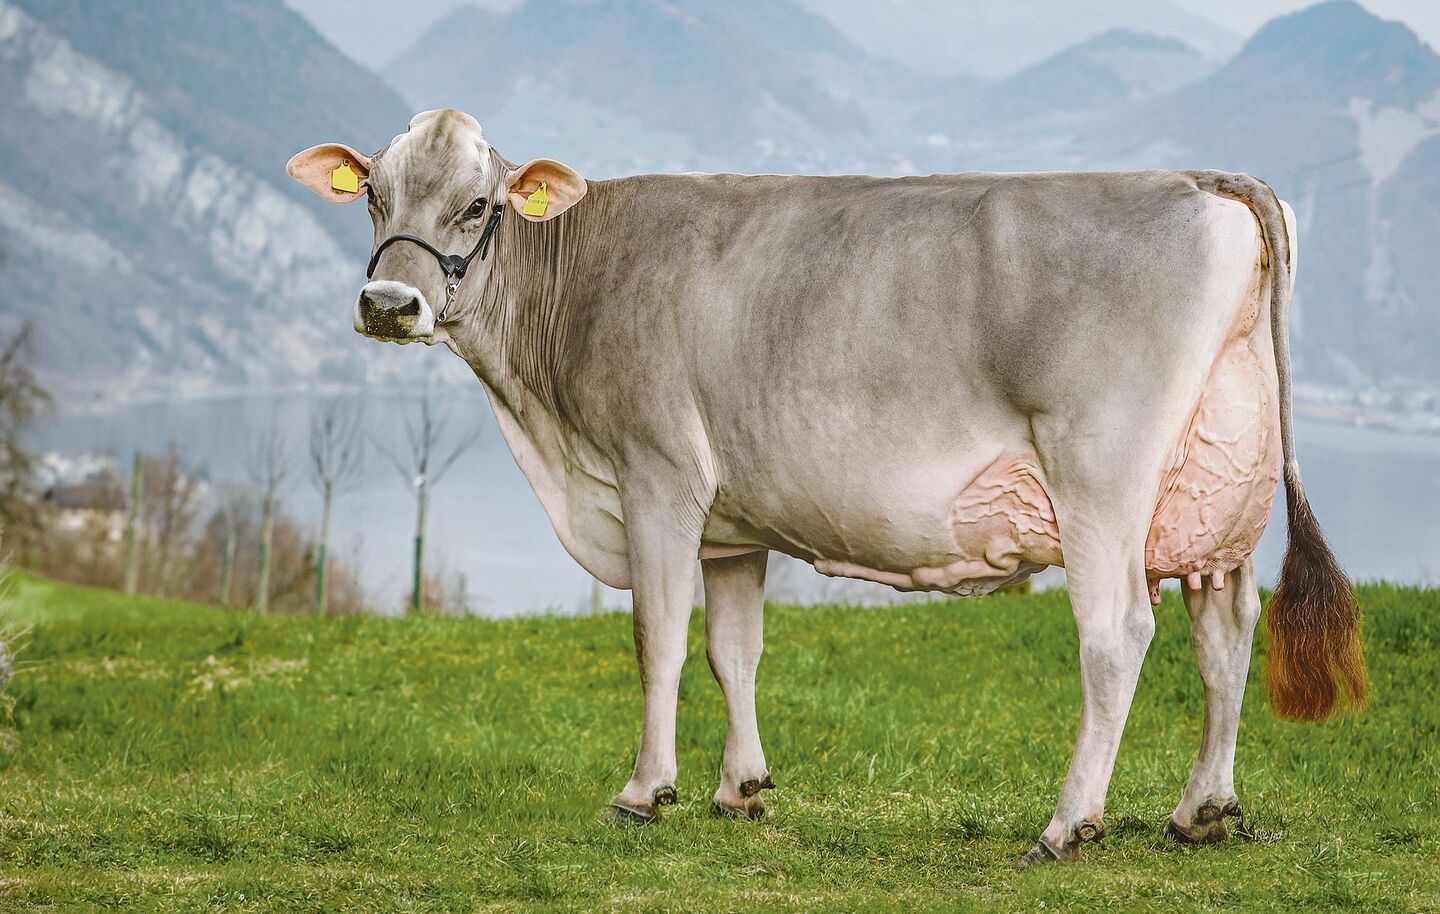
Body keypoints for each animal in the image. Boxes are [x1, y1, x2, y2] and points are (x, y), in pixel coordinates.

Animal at [288, 109, 1367, 866]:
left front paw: (644, 790)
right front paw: (739, 787)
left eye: (480, 205)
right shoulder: (731, 524)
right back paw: (1202, 810)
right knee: (1226, 631)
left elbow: (657, 641)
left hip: (1101, 467)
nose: (389, 301)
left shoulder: (657, 477)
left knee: (1117, 636)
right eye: (374, 194)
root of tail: (1200, 174)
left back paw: (1068, 824)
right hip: (1214, 489)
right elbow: (732, 650)